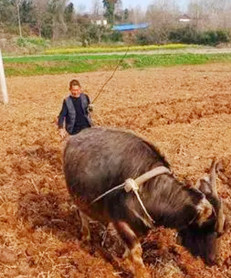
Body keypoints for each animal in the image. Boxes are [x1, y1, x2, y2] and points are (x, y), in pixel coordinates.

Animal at [62, 127, 224, 276]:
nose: (213, 261)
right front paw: (141, 272)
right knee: (82, 214)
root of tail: (75, 137)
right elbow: (136, 249)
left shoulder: (142, 225)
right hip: (78, 197)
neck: (153, 190)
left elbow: (131, 248)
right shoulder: (120, 221)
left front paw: (124, 260)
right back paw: (85, 237)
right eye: (205, 228)